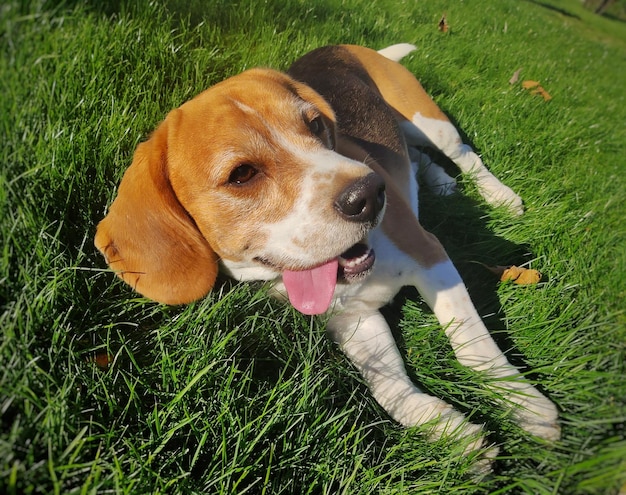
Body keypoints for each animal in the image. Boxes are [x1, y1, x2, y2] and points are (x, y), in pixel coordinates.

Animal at [95, 43, 560, 464]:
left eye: (316, 124)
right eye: (241, 174)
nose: (371, 194)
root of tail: (345, 46)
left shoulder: (430, 253)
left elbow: (475, 350)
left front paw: (524, 404)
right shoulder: (350, 318)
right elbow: (390, 387)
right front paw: (447, 430)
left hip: (429, 122)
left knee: (465, 157)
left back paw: (498, 196)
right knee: (420, 159)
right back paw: (439, 182)